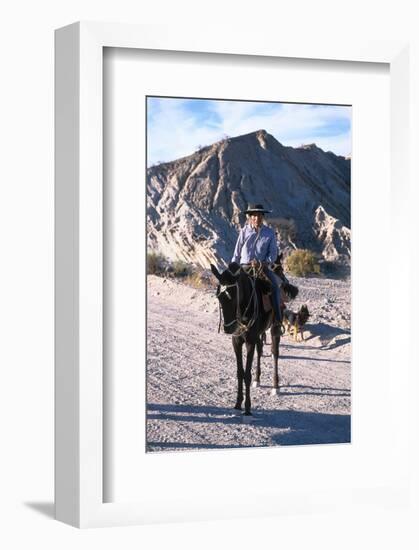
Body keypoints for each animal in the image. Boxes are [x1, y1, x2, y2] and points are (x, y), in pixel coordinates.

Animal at [210, 256, 298, 416]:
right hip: (258, 334)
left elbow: (247, 375)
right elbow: (240, 372)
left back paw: (275, 387)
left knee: (275, 353)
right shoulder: (236, 341)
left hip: (274, 328)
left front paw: (247, 407)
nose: (228, 328)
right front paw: (238, 403)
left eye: (234, 297)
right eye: (219, 297)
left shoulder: (249, 341)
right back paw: (258, 380)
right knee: (260, 350)